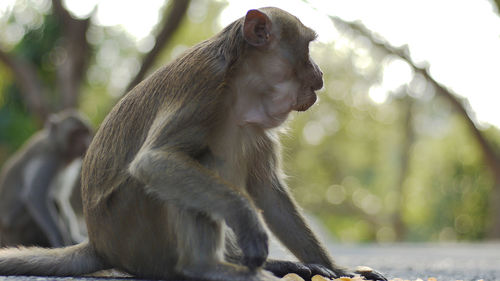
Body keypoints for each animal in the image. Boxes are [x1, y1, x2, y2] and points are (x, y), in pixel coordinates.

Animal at [0, 109, 93, 247]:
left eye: (85, 132)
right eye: (76, 134)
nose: (85, 141)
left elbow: (62, 198)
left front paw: (74, 238)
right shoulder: (50, 159)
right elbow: (35, 195)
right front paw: (59, 239)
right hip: (17, 230)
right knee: (53, 202)